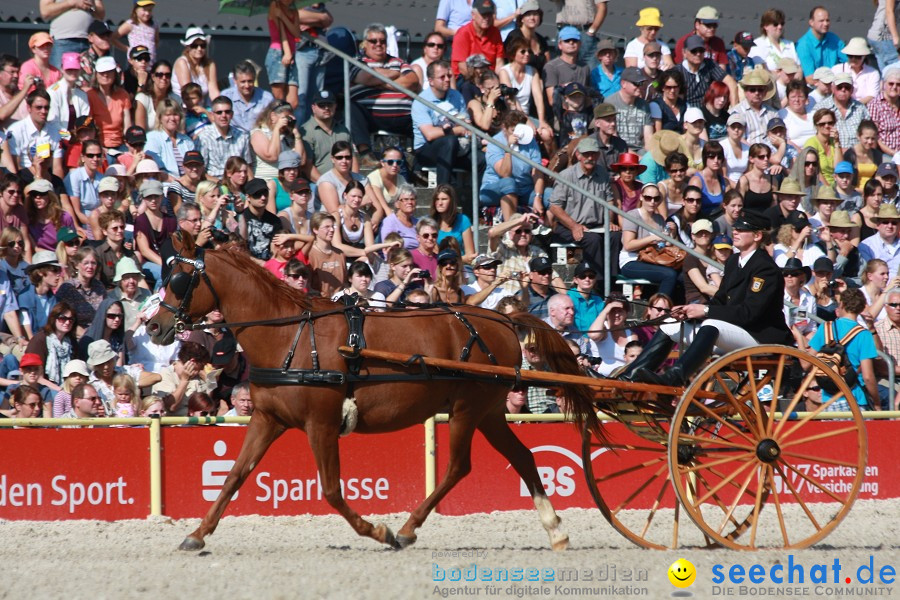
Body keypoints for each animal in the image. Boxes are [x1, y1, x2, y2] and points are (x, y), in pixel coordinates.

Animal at [148, 236, 600, 552]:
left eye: (179, 280)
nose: (154, 326)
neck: (289, 335)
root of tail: (501, 320)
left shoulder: (321, 423)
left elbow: (331, 490)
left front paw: (378, 531)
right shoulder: (266, 419)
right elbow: (233, 477)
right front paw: (197, 534)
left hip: (467, 409)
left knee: (458, 466)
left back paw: (406, 529)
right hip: (488, 412)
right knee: (521, 457)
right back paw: (555, 531)